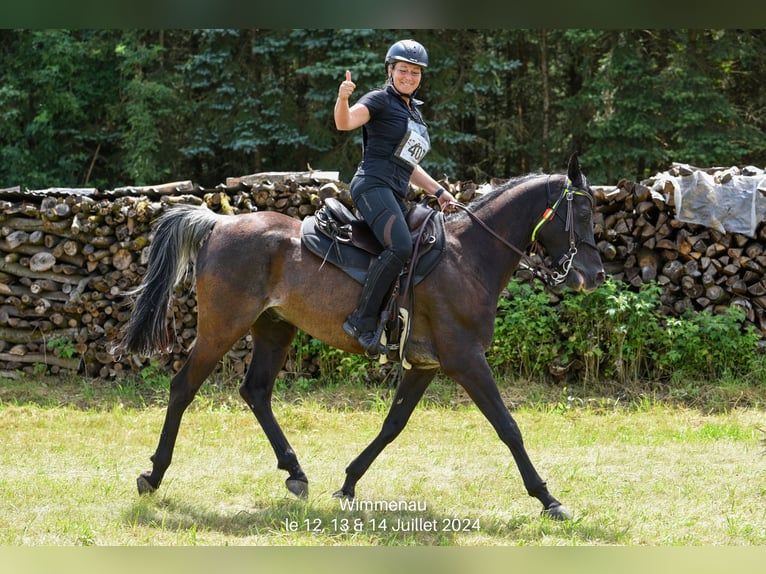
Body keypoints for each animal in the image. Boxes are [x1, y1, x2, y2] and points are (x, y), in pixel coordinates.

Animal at [115, 153, 608, 520]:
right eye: (582, 212)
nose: (594, 275)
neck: (468, 257)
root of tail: (219, 223)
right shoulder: (466, 360)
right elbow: (508, 428)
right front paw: (547, 497)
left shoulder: (424, 365)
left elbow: (392, 425)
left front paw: (349, 483)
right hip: (222, 328)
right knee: (183, 388)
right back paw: (153, 475)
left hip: (275, 329)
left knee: (255, 391)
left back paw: (295, 472)